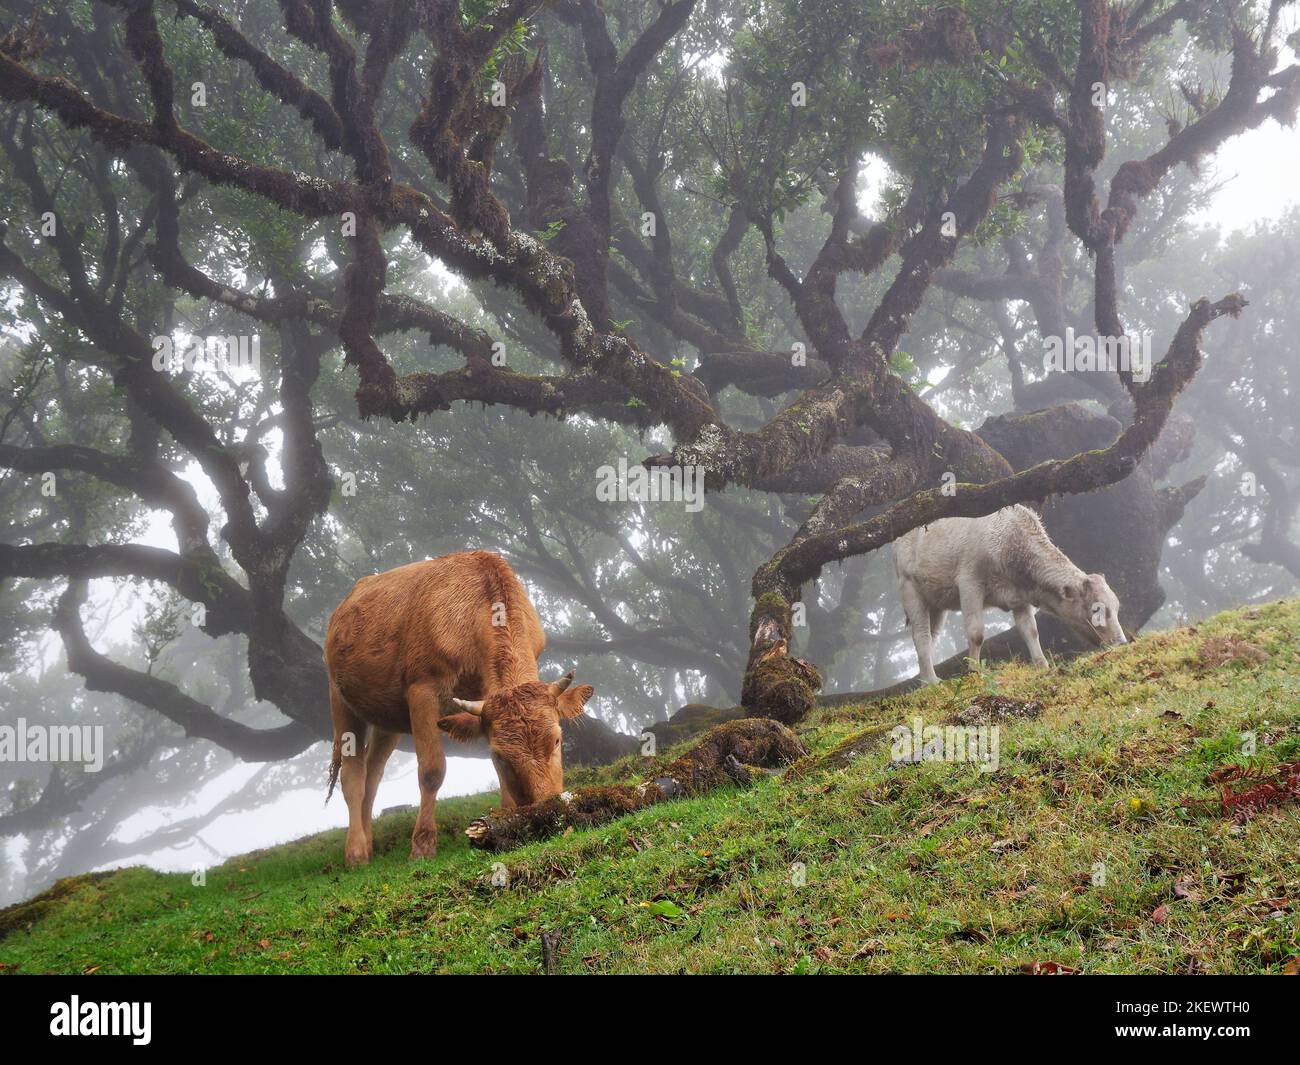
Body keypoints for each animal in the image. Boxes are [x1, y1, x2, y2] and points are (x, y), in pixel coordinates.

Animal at [325, 548, 595, 868]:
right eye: (501, 755)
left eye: (556, 740)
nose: (548, 810)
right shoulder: (422, 690)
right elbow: (431, 770)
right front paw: (422, 846)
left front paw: (506, 819)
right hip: (339, 698)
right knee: (352, 774)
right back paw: (355, 852)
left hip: (386, 718)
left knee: (373, 773)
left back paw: (367, 843)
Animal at [894, 507, 1128, 686]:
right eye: (1096, 609)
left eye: (1116, 608)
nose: (1122, 642)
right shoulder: (970, 582)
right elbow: (976, 632)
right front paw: (974, 671)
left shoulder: (1020, 598)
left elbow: (1030, 631)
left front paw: (1042, 666)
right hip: (909, 588)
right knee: (921, 636)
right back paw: (931, 682)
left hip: (936, 602)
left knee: (931, 636)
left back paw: (924, 678)